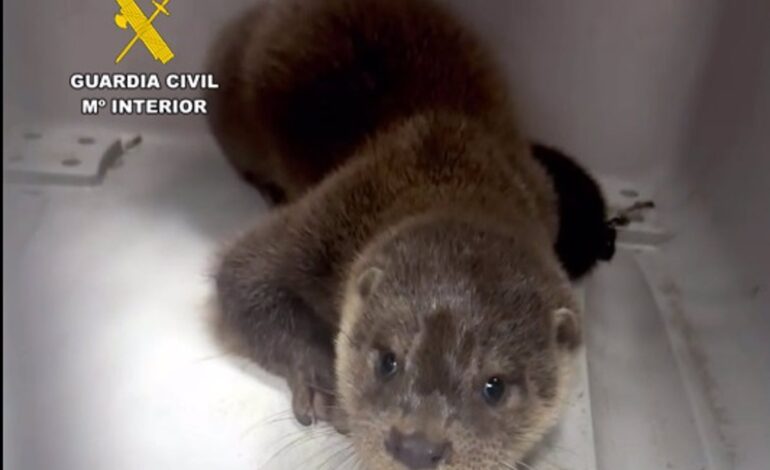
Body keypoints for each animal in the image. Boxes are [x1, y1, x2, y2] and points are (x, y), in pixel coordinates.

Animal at [207, 0, 608, 468]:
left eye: (495, 386)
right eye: (387, 361)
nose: (417, 447)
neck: (449, 172)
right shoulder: (329, 217)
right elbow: (244, 274)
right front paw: (323, 382)